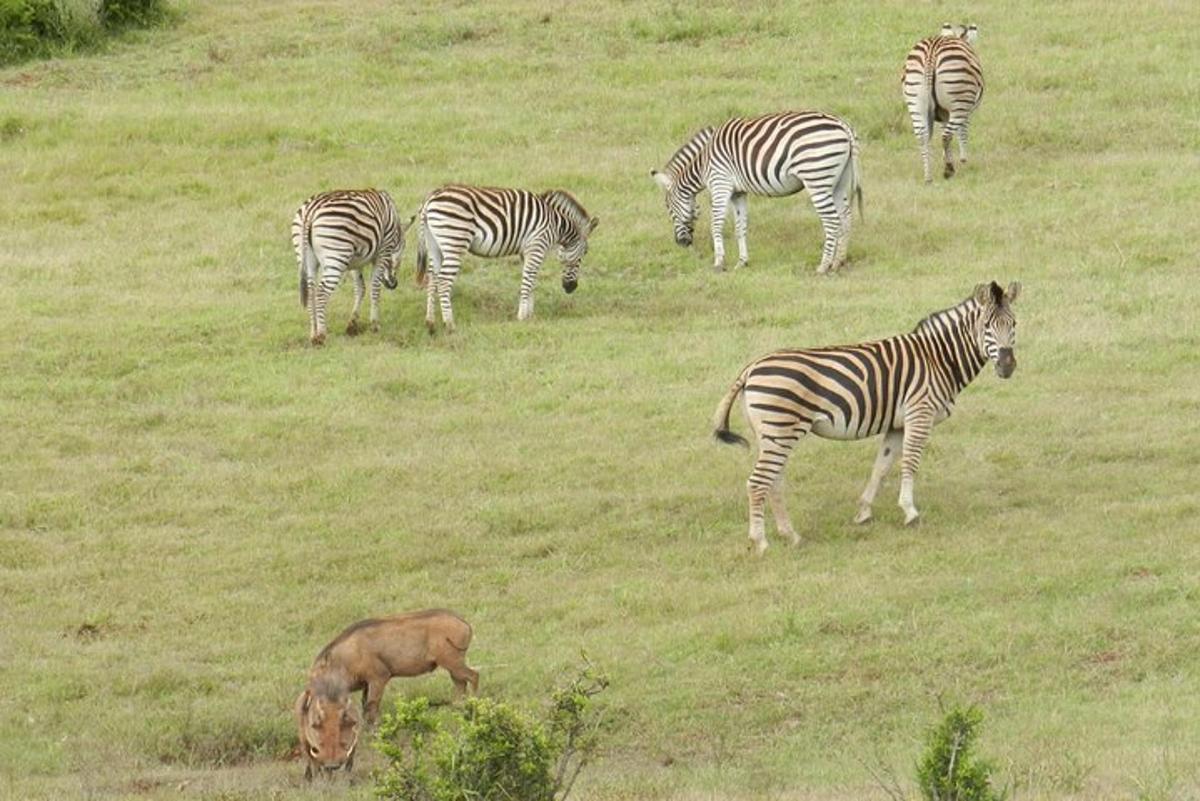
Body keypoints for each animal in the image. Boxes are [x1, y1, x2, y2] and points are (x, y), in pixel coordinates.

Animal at [292, 191, 415, 347]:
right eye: (403, 249)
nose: (394, 284)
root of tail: (310, 211)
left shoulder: (355, 262)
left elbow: (360, 288)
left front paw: (352, 325)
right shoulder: (383, 251)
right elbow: (375, 287)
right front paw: (374, 325)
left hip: (307, 258)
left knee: (311, 292)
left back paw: (313, 334)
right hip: (336, 257)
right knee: (321, 293)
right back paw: (321, 335)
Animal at [417, 184, 600, 330]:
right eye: (584, 254)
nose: (571, 288)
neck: (556, 224)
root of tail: (430, 199)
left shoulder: (526, 252)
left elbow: (532, 282)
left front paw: (530, 315)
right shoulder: (536, 247)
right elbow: (527, 281)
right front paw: (522, 317)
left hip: (435, 246)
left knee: (432, 279)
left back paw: (430, 322)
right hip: (455, 241)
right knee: (443, 281)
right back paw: (449, 324)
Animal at [648, 110, 864, 275]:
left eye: (669, 209)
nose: (681, 244)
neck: (703, 164)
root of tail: (843, 125)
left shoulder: (720, 184)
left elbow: (716, 224)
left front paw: (719, 263)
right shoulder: (739, 193)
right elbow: (740, 227)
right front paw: (742, 262)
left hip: (817, 178)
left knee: (832, 221)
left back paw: (823, 266)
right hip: (838, 181)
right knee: (846, 217)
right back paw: (838, 262)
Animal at [710, 282, 1022, 556]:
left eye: (1014, 325)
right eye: (986, 327)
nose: (1007, 366)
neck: (938, 358)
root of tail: (751, 368)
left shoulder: (897, 424)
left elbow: (881, 468)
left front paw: (863, 512)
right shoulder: (919, 414)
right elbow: (910, 463)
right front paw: (911, 512)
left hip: (772, 435)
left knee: (773, 482)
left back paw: (791, 536)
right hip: (780, 431)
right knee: (757, 483)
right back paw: (761, 543)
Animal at [902, 22, 984, 182]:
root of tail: (931, 53)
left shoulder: (943, 113)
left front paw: (947, 157)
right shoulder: (964, 110)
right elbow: (962, 131)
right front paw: (963, 160)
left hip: (915, 101)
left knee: (923, 136)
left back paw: (928, 177)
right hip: (959, 101)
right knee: (946, 136)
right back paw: (948, 171)